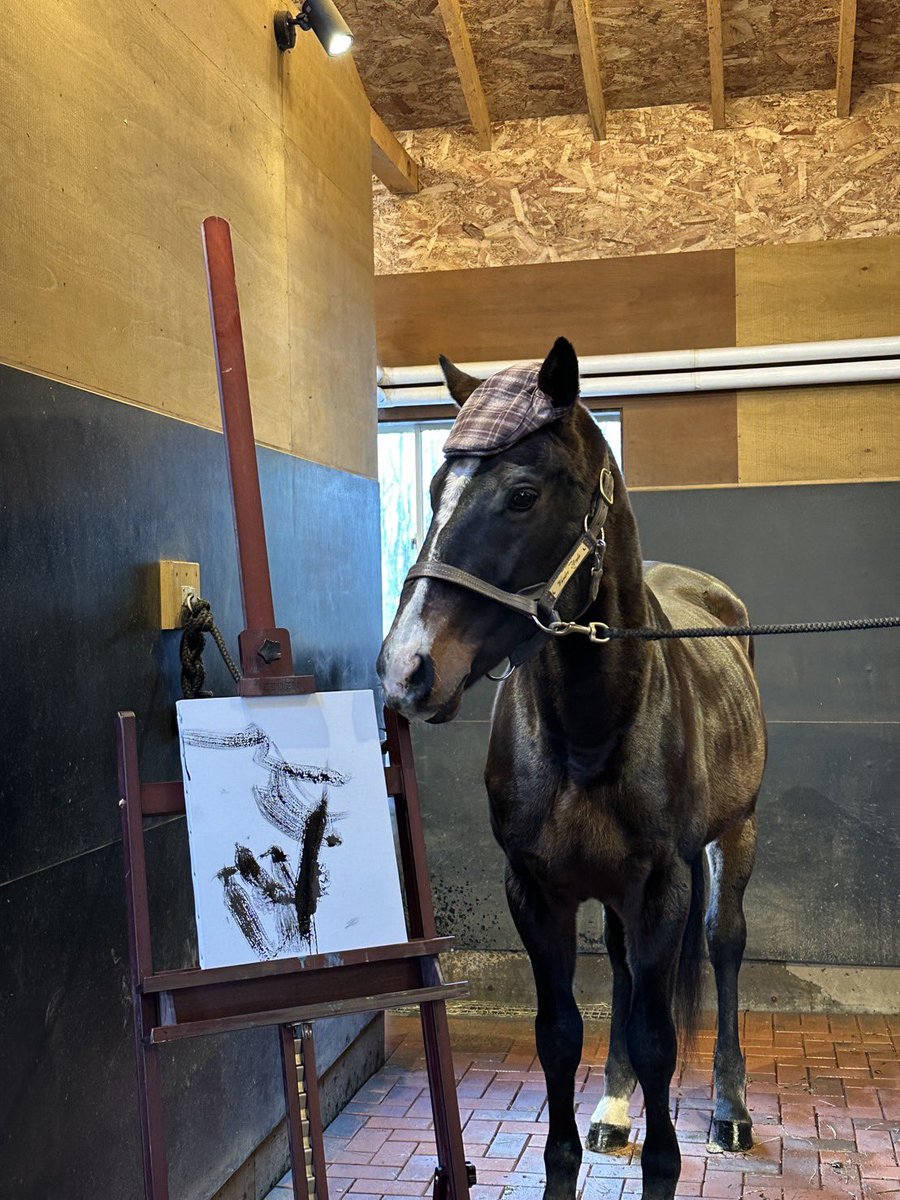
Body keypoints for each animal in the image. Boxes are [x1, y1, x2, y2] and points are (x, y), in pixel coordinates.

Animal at [377, 337, 767, 1200]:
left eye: (522, 494)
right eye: (434, 491)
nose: (407, 669)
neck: (589, 730)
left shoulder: (661, 887)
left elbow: (658, 1038)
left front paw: (665, 1165)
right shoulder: (536, 889)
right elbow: (560, 1033)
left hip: (735, 838)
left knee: (725, 948)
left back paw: (730, 1110)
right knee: (620, 970)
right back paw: (615, 1109)